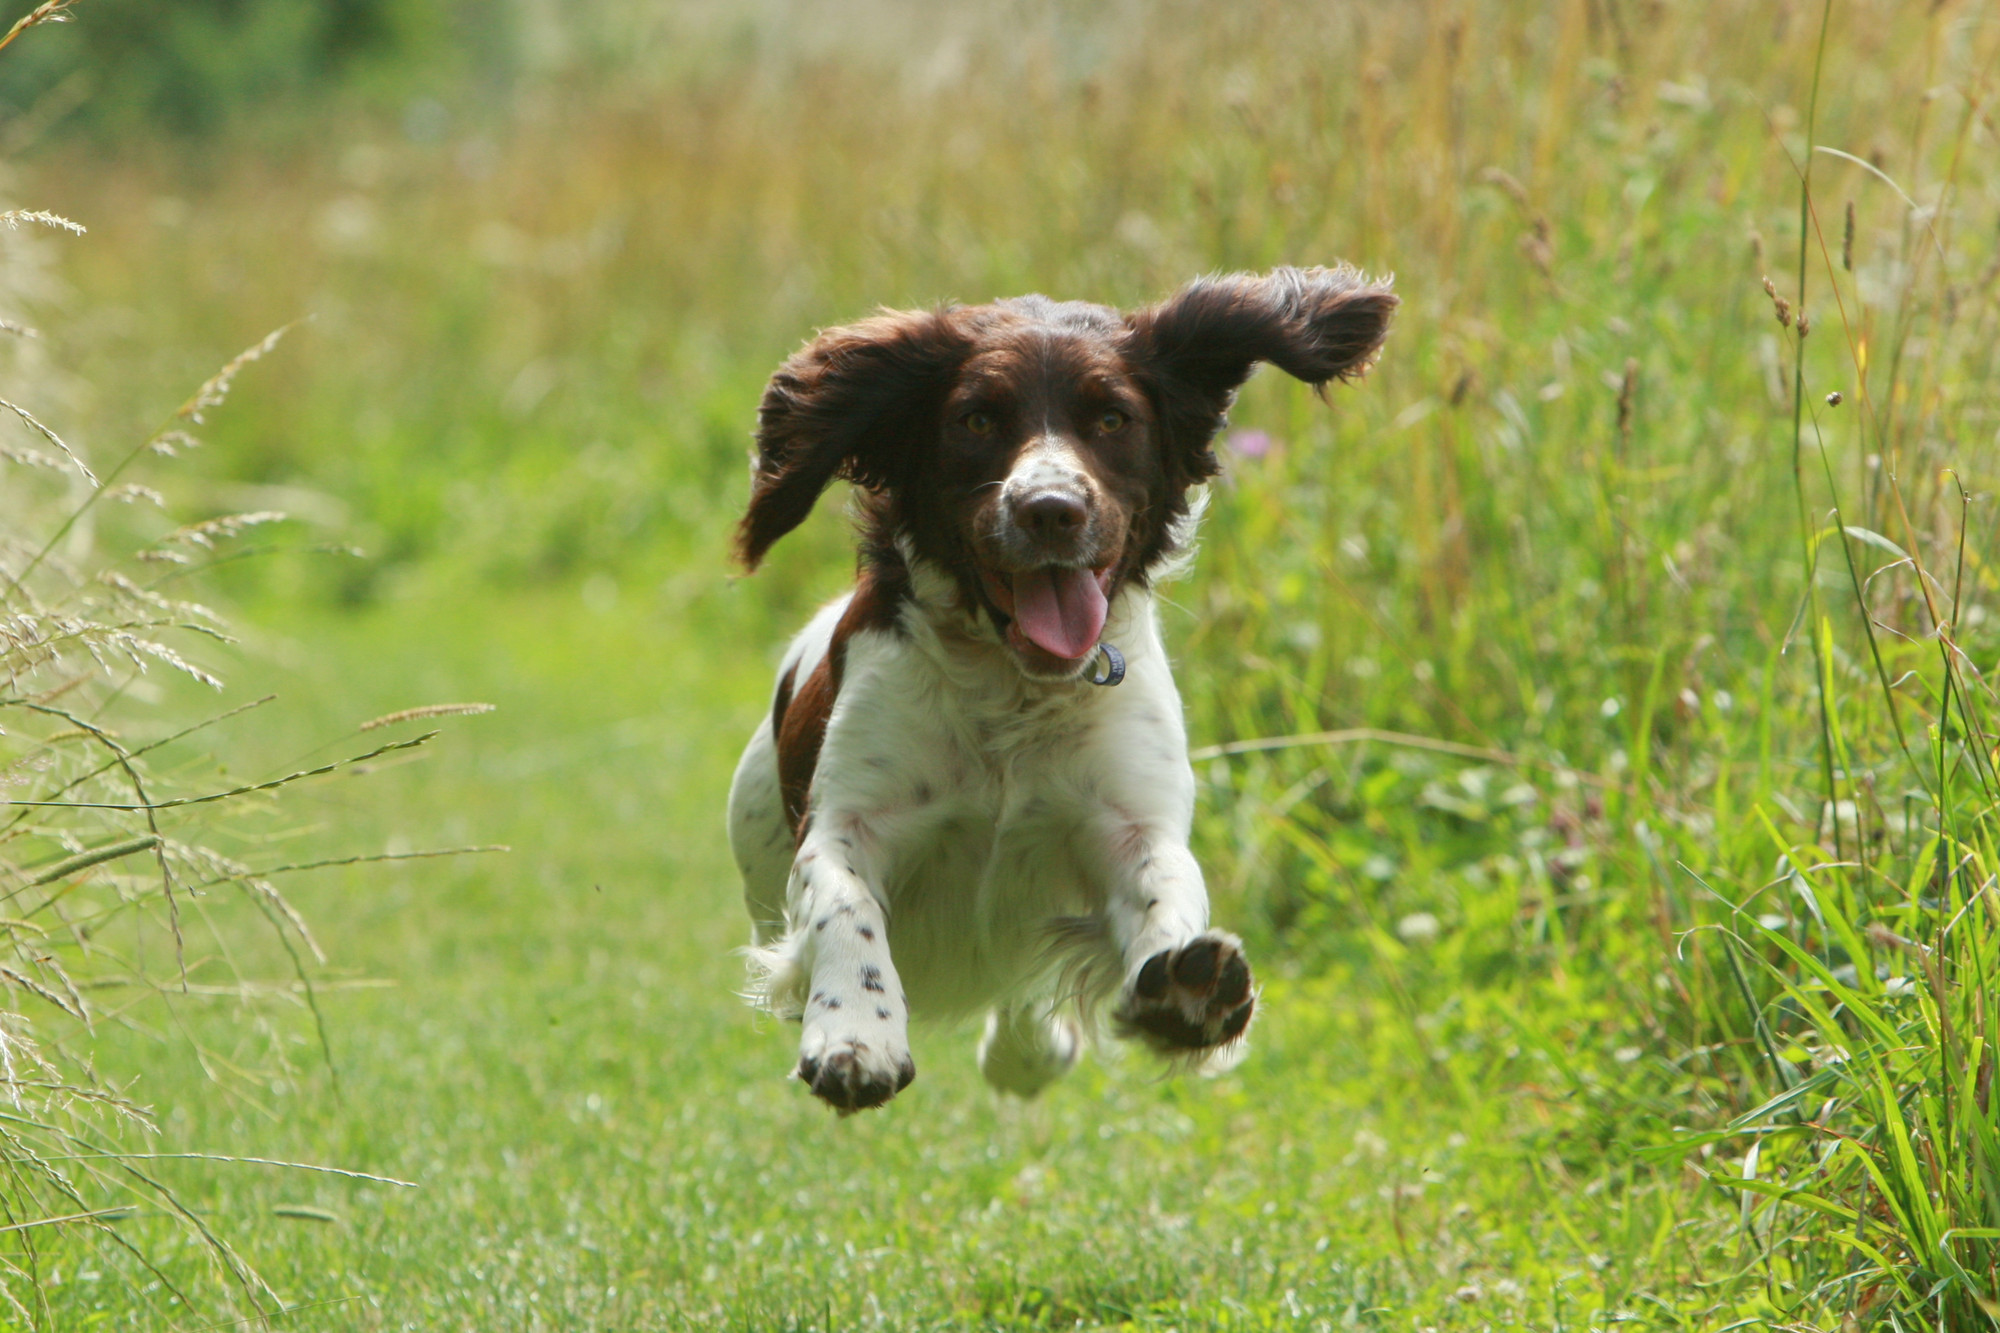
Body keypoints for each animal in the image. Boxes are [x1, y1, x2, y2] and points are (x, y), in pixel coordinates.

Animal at [728, 264, 1400, 1104]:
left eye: (1112, 418)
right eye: (977, 418)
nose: (1051, 509)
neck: (1016, 690)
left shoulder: (1127, 820)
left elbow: (1165, 885)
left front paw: (1189, 992)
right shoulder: (851, 819)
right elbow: (843, 905)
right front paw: (856, 1034)